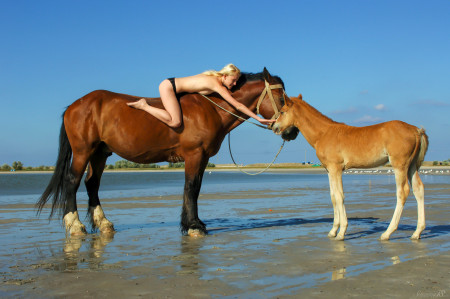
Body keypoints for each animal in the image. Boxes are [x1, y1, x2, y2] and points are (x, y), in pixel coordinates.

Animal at [37, 68, 284, 237]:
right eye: (282, 97)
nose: (286, 128)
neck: (210, 108)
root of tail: (74, 105)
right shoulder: (194, 155)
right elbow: (191, 187)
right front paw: (194, 226)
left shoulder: (203, 157)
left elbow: (194, 189)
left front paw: (194, 223)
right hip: (83, 151)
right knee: (72, 181)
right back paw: (75, 225)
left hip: (100, 154)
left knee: (92, 184)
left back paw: (104, 223)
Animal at [270, 95, 428, 241]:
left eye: (282, 111)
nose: (274, 127)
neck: (323, 133)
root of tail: (416, 130)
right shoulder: (329, 170)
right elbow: (333, 196)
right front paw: (333, 231)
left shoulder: (336, 169)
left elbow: (340, 196)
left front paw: (341, 233)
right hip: (411, 166)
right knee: (418, 189)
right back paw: (417, 232)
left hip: (399, 165)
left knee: (403, 192)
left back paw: (387, 233)